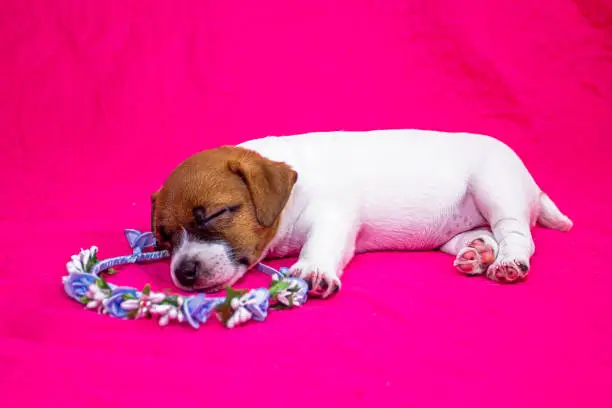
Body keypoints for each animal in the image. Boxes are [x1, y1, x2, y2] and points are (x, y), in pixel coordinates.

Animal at [151, 129, 572, 298]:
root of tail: (532, 186)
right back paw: (477, 251)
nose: (183, 273)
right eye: (164, 238)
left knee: (517, 234)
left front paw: (313, 270)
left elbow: (321, 244)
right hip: (459, 226)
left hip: (495, 186)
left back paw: (508, 261)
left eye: (216, 214)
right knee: (478, 236)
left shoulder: (334, 216)